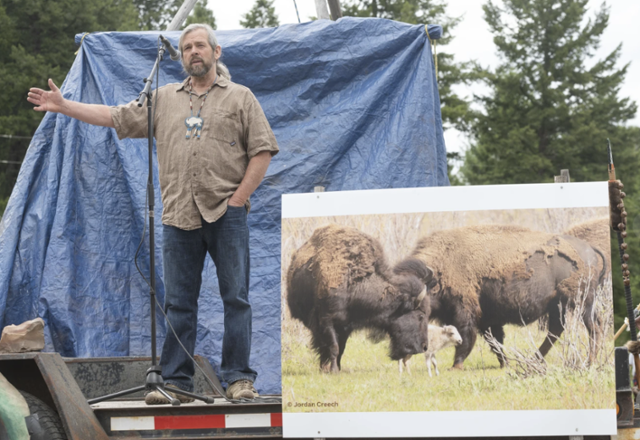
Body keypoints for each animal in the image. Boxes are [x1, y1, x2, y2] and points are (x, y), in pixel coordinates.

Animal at [288, 223, 432, 372]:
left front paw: (338, 368)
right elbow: (334, 346)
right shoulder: (327, 320)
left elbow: (341, 348)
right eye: (420, 316)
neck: (356, 283)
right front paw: (334, 370)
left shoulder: (346, 326)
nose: (424, 347)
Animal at [410, 223, 604, 368]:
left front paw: (456, 366)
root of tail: (590, 249)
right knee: (558, 330)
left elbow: (466, 337)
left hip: (581, 303)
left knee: (592, 327)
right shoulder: (487, 319)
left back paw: (590, 362)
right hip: (559, 306)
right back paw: (534, 360)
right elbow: (495, 341)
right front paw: (505, 364)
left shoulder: (466, 313)